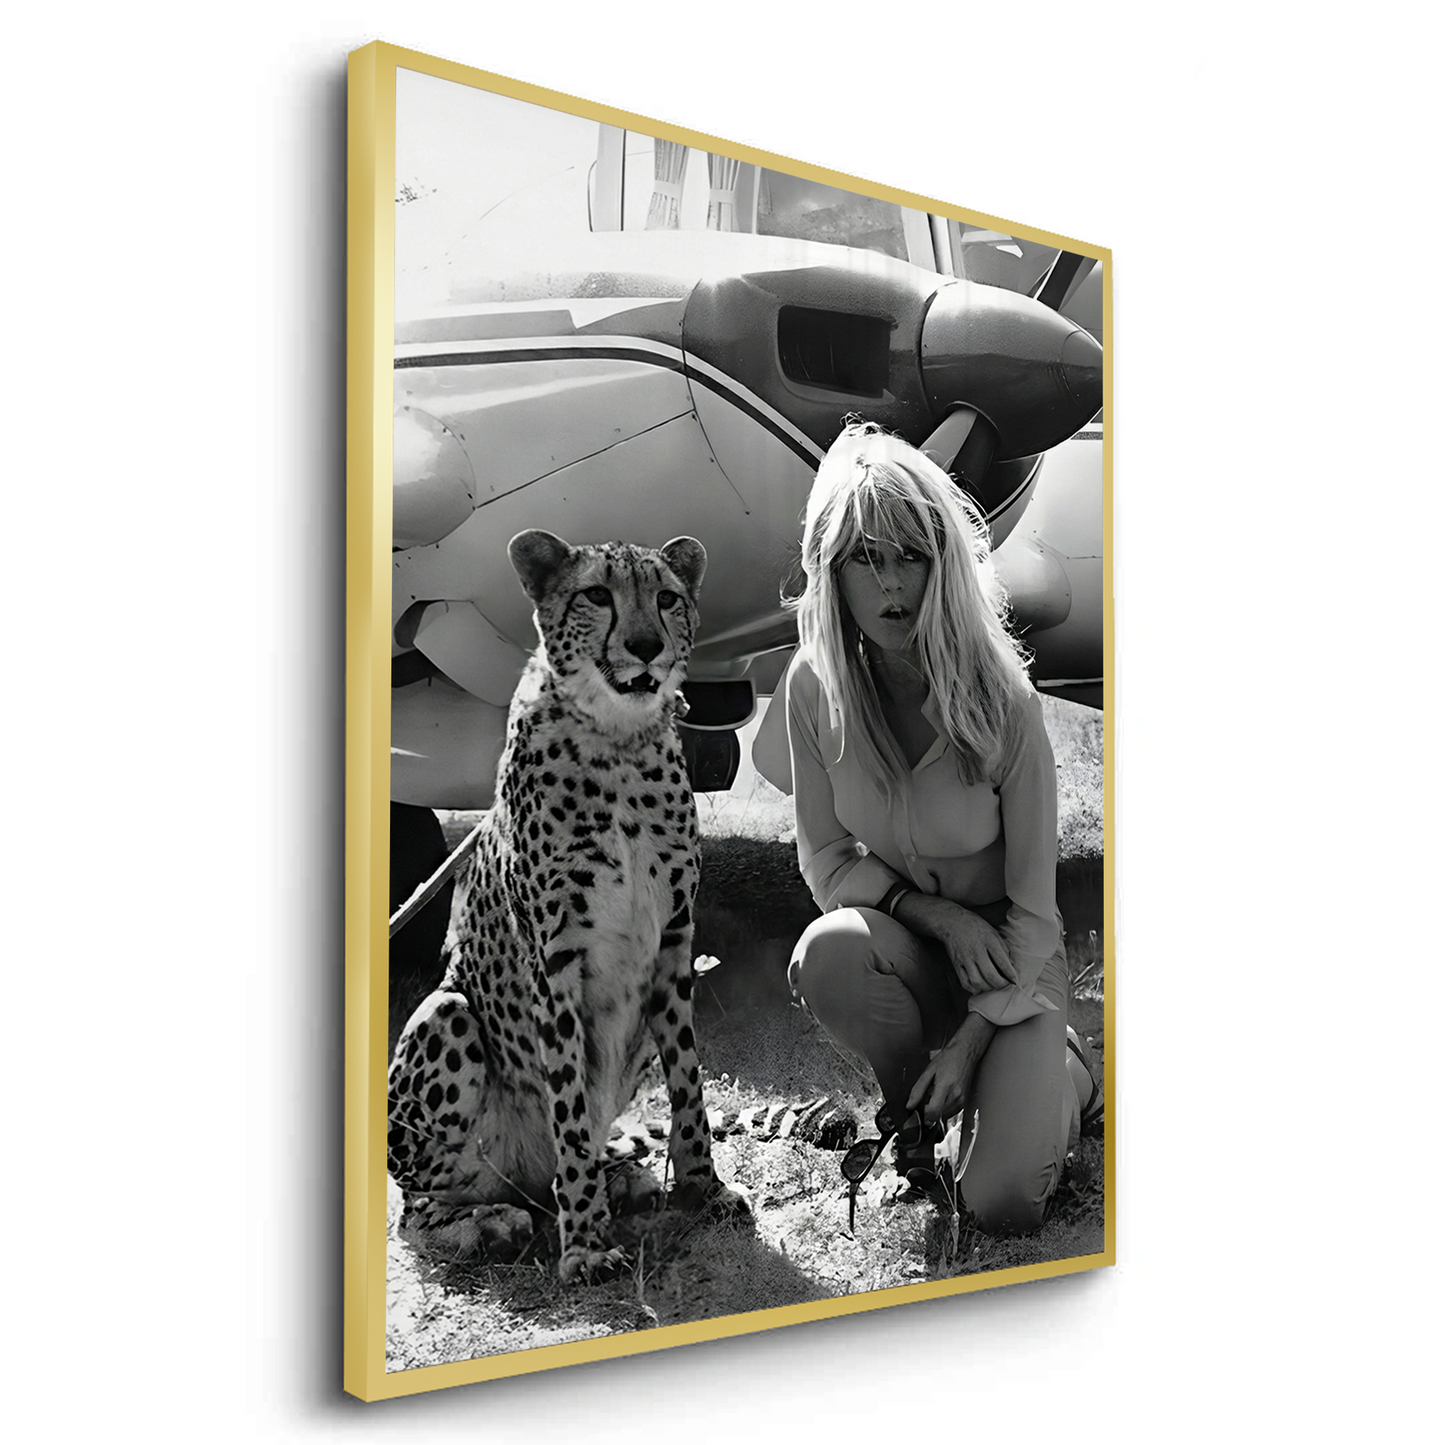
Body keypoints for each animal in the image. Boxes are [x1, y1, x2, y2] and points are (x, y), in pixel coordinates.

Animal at [387, 528, 748, 1283]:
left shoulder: (675, 945)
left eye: (667, 597)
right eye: (596, 595)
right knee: (421, 1208)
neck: (617, 742)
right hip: (447, 1012)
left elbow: (689, 1086)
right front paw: (583, 1241)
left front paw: (703, 1189)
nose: (644, 645)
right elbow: (570, 1103)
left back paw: (620, 1176)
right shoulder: (554, 963)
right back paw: (485, 1221)